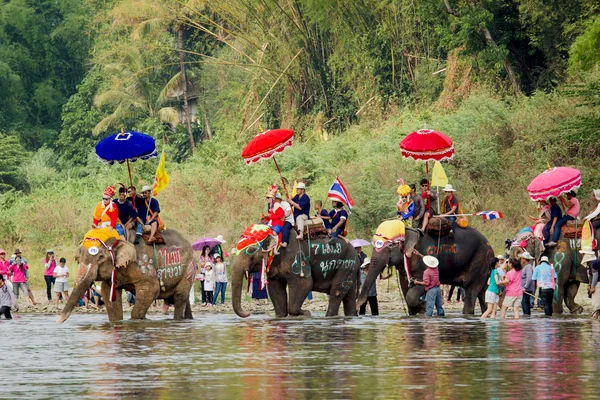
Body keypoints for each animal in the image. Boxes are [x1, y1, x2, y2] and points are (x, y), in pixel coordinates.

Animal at [56, 228, 195, 322]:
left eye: (101, 257)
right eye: (78, 258)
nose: (58, 322)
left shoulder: (143, 264)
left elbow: (151, 290)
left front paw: (136, 321)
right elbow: (108, 294)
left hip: (189, 269)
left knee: (179, 297)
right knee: (183, 299)